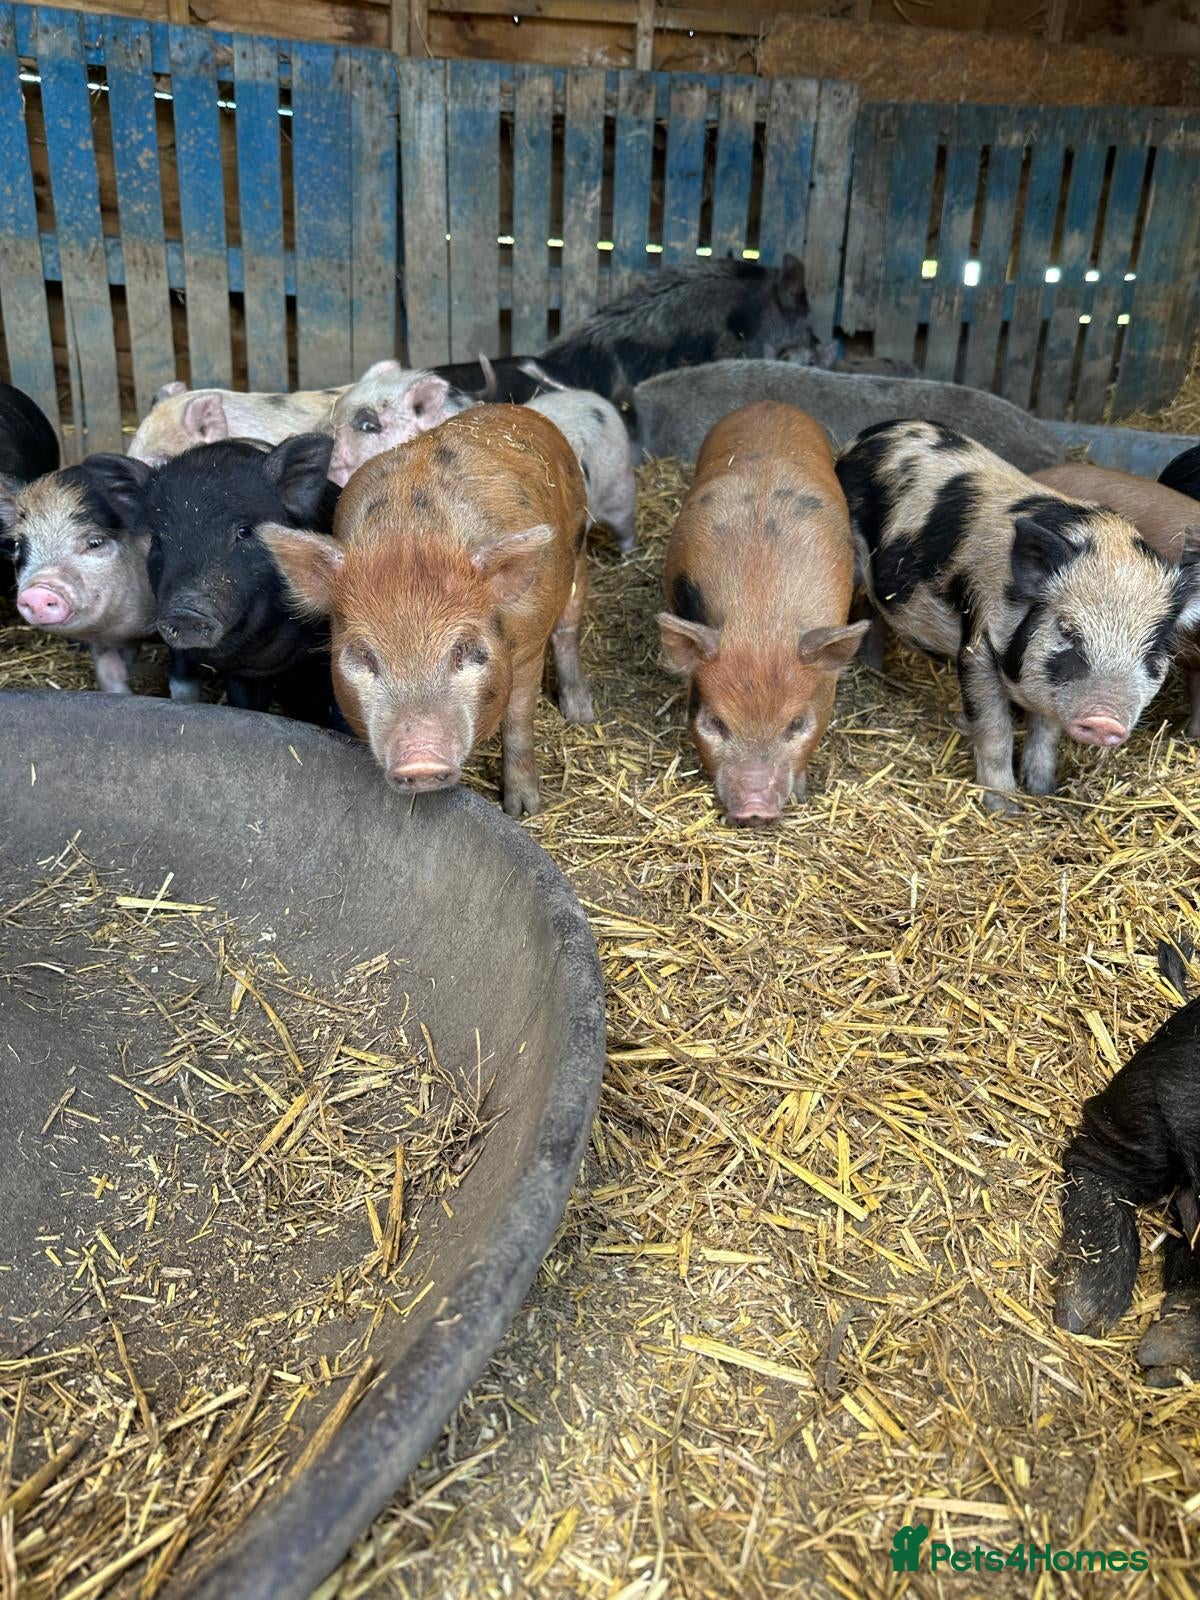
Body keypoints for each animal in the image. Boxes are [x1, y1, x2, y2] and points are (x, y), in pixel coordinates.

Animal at [263, 406, 592, 817]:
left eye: (463, 649)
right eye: (364, 655)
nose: (420, 762)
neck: (412, 533)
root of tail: (518, 409)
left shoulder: (530, 645)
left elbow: (518, 721)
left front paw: (522, 810)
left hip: (578, 542)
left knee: (569, 624)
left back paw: (580, 714)